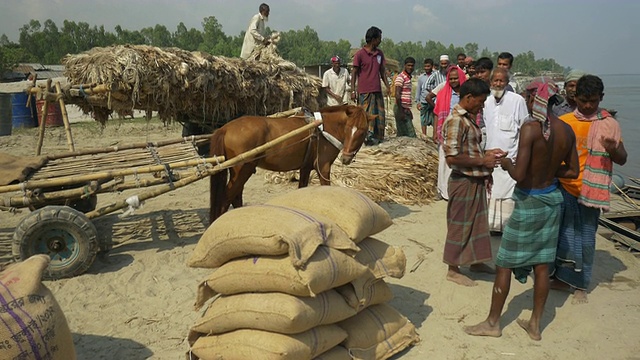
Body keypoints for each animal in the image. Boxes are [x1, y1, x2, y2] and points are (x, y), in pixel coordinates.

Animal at [210, 105, 370, 222]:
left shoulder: (306, 167)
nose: (346, 158)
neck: (323, 128)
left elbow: (302, 189)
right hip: (243, 170)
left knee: (235, 197)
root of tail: (224, 128)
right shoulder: (323, 167)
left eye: (363, 131)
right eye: (348, 128)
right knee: (226, 199)